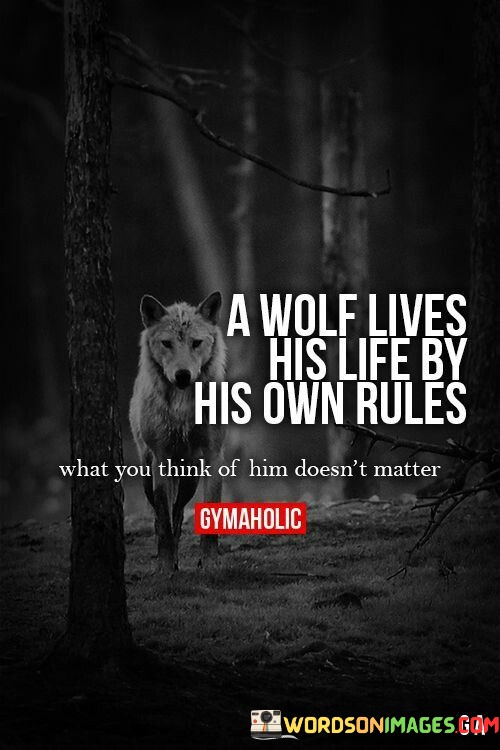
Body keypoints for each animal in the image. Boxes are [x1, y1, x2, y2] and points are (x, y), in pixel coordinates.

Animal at [129, 291, 226, 571]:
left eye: (196, 343)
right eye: (167, 343)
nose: (182, 375)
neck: (183, 408)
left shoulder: (213, 455)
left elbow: (210, 511)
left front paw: (210, 561)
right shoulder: (161, 458)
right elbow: (163, 517)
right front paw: (164, 564)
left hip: (190, 476)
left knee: (179, 509)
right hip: (147, 473)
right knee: (161, 513)